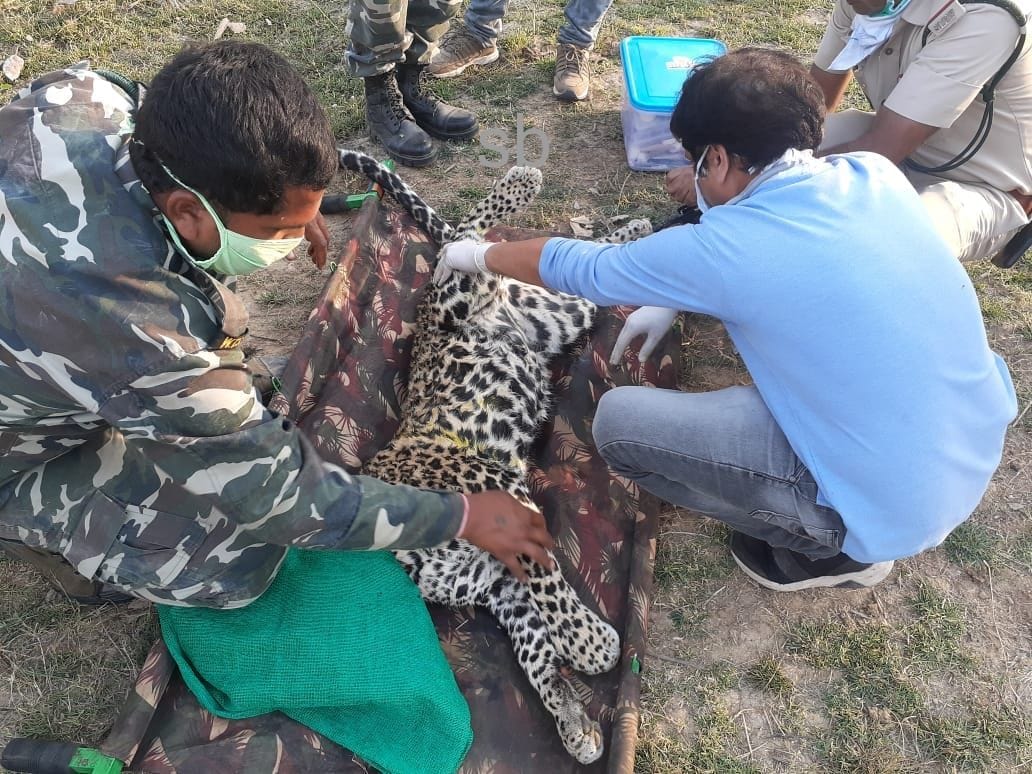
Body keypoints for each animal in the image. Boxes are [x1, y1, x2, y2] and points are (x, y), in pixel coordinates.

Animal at [338, 149, 652, 764]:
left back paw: (521, 183)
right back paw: (635, 230)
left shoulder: (495, 489)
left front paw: (592, 643)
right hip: (560, 312)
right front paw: (573, 723)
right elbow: (534, 652)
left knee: (464, 238)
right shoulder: (498, 584)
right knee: (583, 266)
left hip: (464, 294)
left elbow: (550, 584)